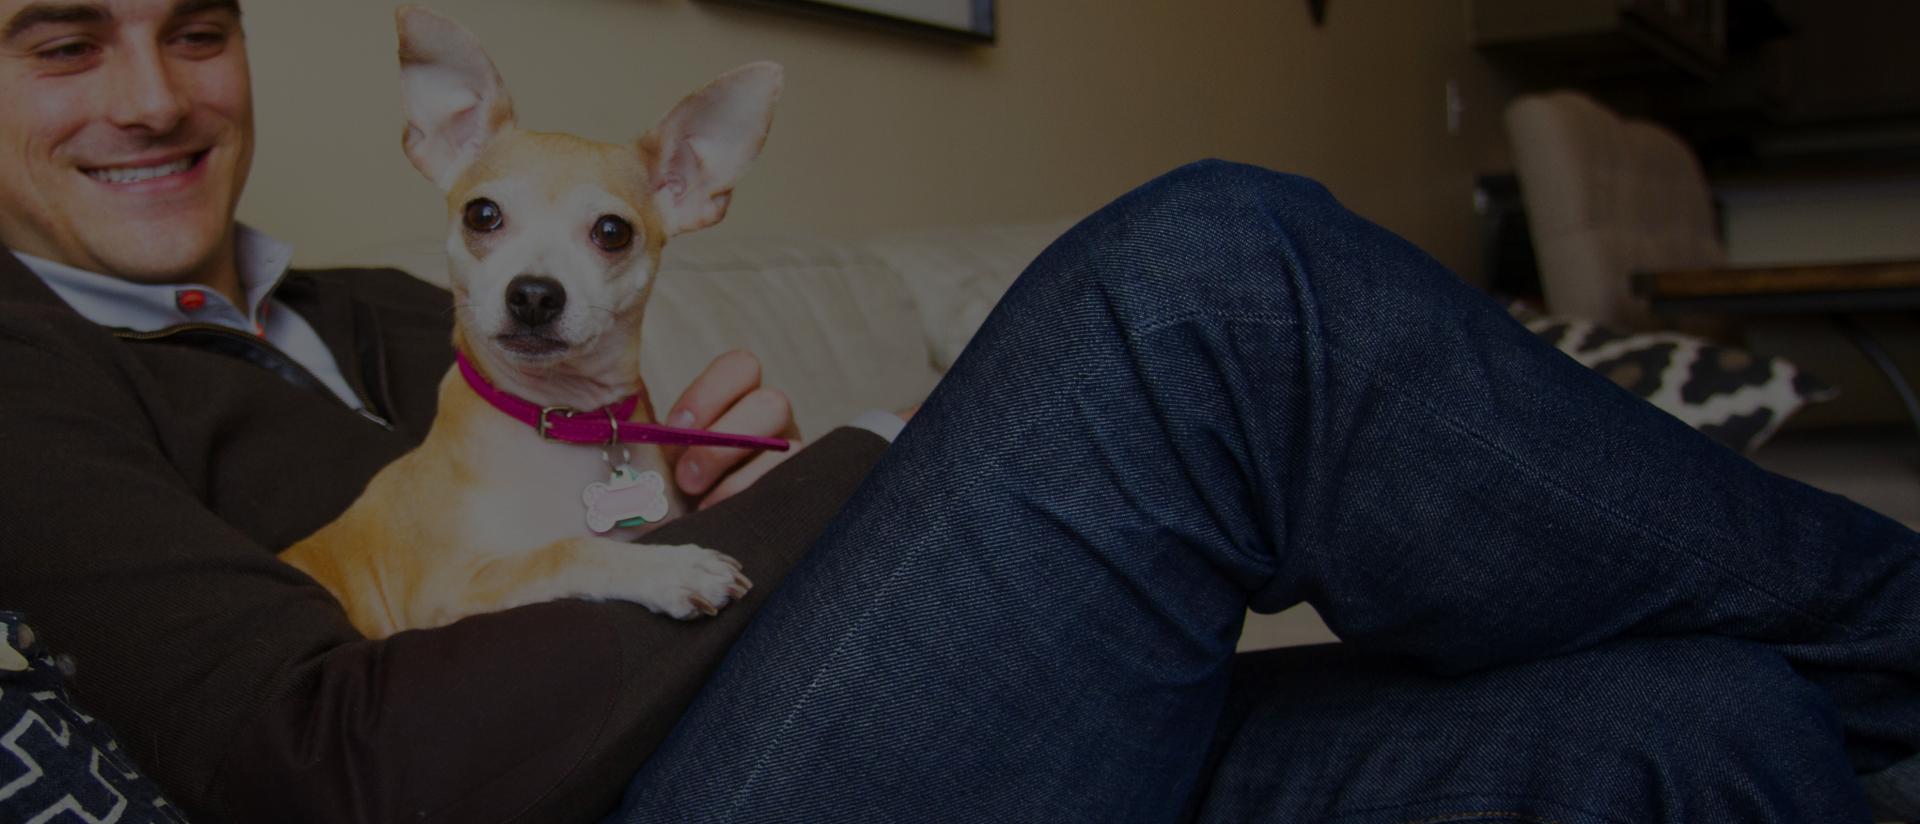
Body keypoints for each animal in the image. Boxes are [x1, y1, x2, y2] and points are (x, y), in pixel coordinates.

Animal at [280, 6, 775, 637]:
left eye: (612, 231)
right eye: (482, 215)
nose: (535, 295)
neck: (563, 420)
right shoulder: (449, 592)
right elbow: (566, 550)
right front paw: (670, 568)